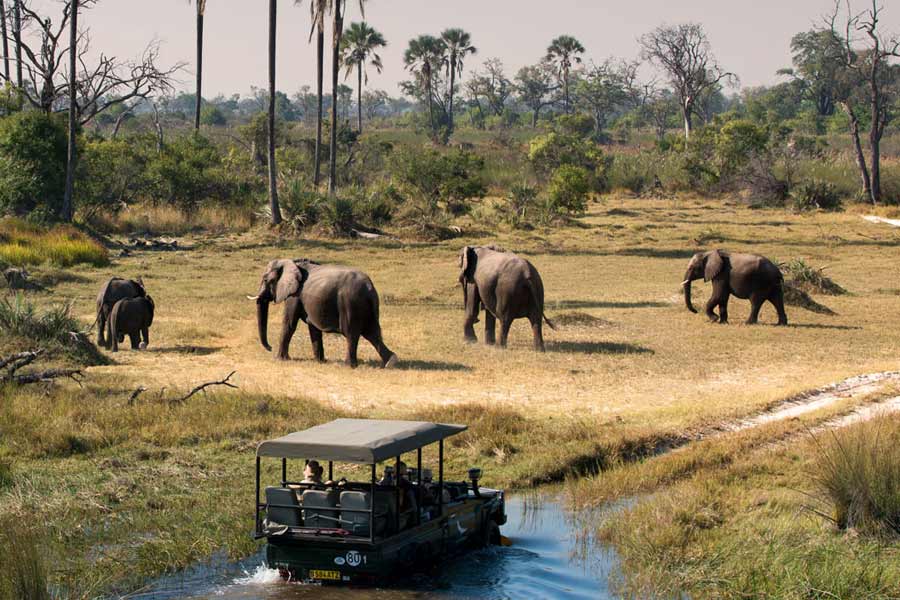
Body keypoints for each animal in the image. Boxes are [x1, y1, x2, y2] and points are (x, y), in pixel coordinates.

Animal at [250, 259, 398, 368]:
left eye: (265, 280)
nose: (270, 347)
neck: (292, 262)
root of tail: (369, 287)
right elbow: (313, 328)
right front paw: (320, 361)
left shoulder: (294, 295)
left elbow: (289, 324)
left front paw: (279, 359)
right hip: (367, 306)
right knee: (372, 333)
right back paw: (391, 362)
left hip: (350, 303)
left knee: (351, 334)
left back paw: (347, 365)